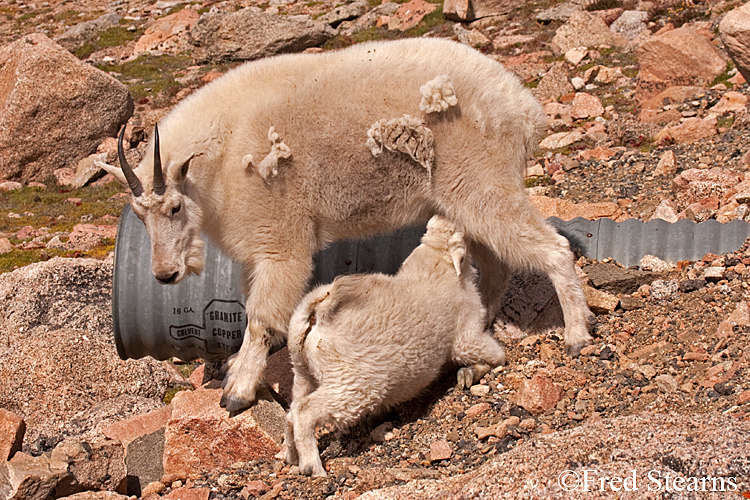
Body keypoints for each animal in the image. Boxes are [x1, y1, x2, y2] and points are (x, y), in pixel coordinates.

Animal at [100, 35, 596, 410]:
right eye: (140, 216)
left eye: (174, 208)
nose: (165, 275)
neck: (218, 158)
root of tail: (525, 108)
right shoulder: (252, 254)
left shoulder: (281, 243)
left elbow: (260, 319)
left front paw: (237, 394)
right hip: (466, 202)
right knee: (495, 266)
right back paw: (481, 331)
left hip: (483, 183)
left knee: (550, 248)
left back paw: (576, 336)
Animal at [284, 215, 508, 476]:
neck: (436, 263)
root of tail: (316, 312)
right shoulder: (466, 334)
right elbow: (493, 355)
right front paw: (474, 372)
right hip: (351, 384)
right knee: (304, 411)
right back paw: (312, 466)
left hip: (302, 371)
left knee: (291, 411)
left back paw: (292, 456)